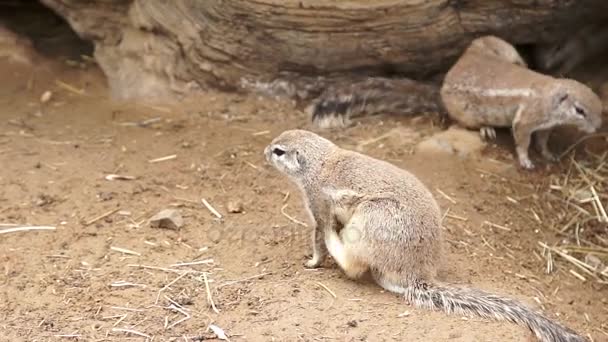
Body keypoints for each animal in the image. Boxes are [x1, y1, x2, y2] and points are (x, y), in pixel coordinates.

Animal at [268, 130, 588, 340]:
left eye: (279, 151)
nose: (264, 150)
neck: (323, 160)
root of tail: (417, 274)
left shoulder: (317, 202)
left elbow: (318, 235)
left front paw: (312, 262)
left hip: (371, 218)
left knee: (353, 265)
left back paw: (337, 241)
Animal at [442, 36, 604, 170]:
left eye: (600, 106)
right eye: (580, 110)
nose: (597, 127)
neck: (549, 97)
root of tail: (466, 56)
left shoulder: (546, 126)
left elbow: (542, 140)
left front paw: (548, 153)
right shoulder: (526, 120)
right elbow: (523, 142)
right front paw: (525, 160)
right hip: (465, 113)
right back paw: (486, 128)